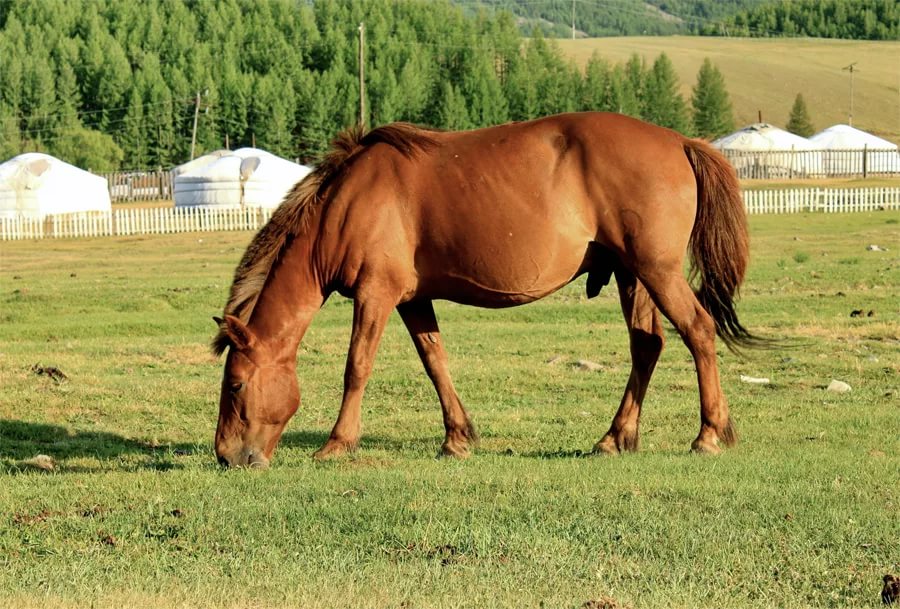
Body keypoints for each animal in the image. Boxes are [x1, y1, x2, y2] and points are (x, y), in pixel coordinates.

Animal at [213, 111, 752, 468]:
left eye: (235, 385)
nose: (225, 456)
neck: (345, 203)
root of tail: (680, 141)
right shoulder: (412, 301)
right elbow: (435, 362)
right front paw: (457, 437)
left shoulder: (375, 296)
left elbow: (356, 367)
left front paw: (338, 442)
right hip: (631, 275)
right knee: (647, 345)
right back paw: (616, 437)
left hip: (657, 272)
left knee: (698, 330)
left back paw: (708, 434)